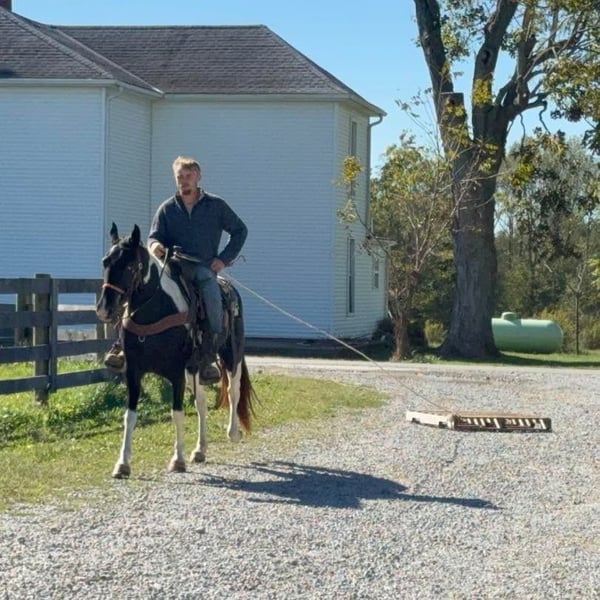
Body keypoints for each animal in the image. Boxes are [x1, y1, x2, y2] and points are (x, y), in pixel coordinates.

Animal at [96, 223, 254, 478]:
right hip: (195, 370)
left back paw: (233, 433)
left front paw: (177, 459)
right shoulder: (133, 372)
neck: (156, 311)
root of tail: (229, 288)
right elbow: (130, 416)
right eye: (106, 261)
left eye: (129, 265)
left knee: (233, 391)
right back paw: (200, 450)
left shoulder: (177, 372)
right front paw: (122, 464)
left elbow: (177, 413)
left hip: (232, 356)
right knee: (201, 402)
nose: (104, 309)